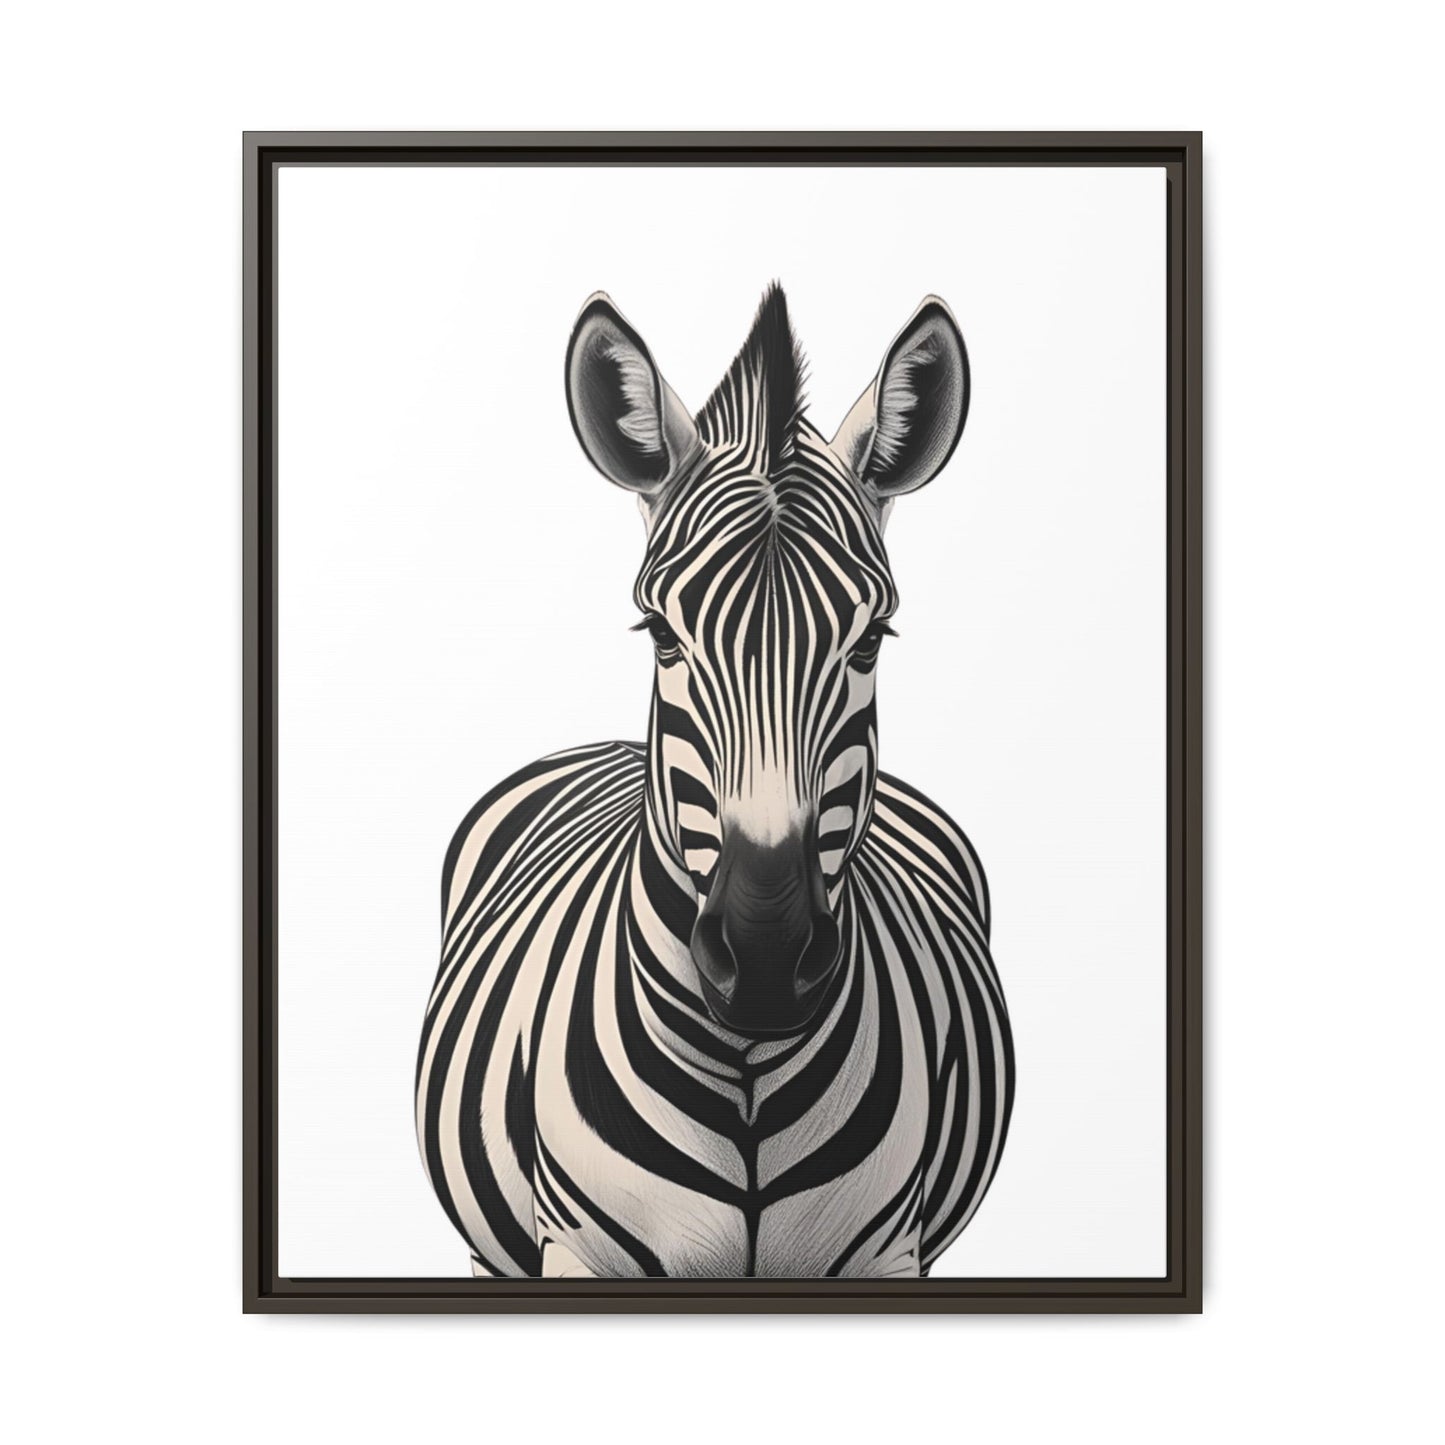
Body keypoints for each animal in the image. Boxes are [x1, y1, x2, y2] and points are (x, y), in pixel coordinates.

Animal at [415, 284, 1013, 1279]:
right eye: (661, 633)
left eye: (869, 641)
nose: (766, 959)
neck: (745, 1077)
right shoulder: (572, 1249)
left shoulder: (891, 1250)